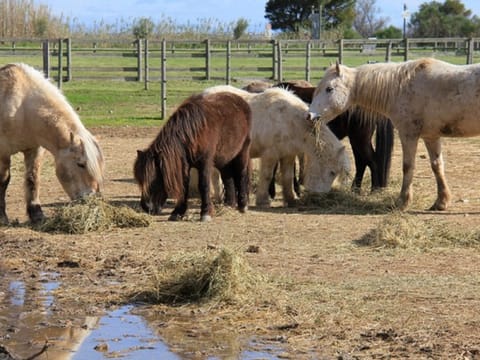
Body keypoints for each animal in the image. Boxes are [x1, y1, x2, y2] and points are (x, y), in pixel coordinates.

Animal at [0, 63, 104, 224]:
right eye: (80, 164)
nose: (92, 199)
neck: (21, 107)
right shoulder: (3, 152)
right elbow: (4, 181)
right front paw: (2, 217)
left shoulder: (34, 149)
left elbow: (33, 178)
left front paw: (37, 214)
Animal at [132, 92, 251, 222]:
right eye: (140, 181)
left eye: (155, 180)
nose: (146, 207)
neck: (194, 133)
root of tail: (241, 101)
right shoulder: (185, 164)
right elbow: (184, 186)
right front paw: (178, 212)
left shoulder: (205, 163)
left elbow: (204, 185)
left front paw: (205, 213)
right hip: (224, 157)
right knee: (227, 176)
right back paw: (229, 204)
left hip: (243, 152)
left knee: (241, 174)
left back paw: (243, 205)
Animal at [202, 85, 348, 207]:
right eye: (332, 172)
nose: (319, 194)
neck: (290, 121)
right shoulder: (270, 154)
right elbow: (267, 176)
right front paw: (263, 200)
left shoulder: (288, 154)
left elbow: (288, 177)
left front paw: (291, 199)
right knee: (214, 174)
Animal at [308, 58, 480, 211]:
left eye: (329, 89)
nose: (310, 116)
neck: (401, 86)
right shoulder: (431, 137)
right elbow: (437, 166)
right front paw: (441, 202)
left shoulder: (408, 135)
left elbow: (408, 166)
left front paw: (402, 201)